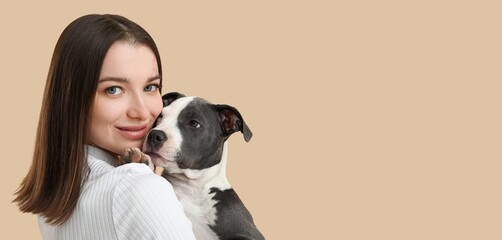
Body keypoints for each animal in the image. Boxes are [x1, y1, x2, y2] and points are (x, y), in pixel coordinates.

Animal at [122, 92, 264, 240]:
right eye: (160, 117)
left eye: (194, 123)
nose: (154, 135)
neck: (191, 189)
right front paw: (140, 160)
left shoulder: (249, 232)